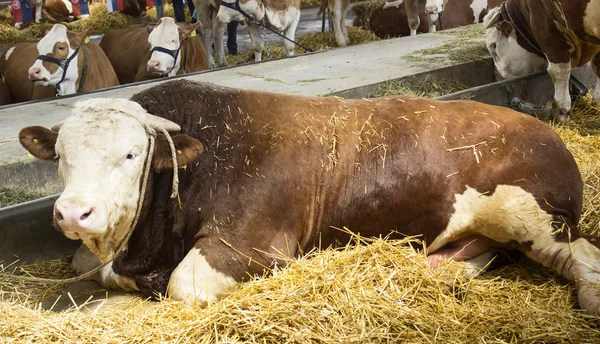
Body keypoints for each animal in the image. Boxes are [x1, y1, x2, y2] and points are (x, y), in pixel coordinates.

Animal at [17, 78, 600, 326]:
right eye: (61, 156)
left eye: (131, 154)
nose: (74, 212)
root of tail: (546, 133)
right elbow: (87, 263)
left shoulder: (254, 244)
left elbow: (185, 284)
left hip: (535, 215)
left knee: (582, 255)